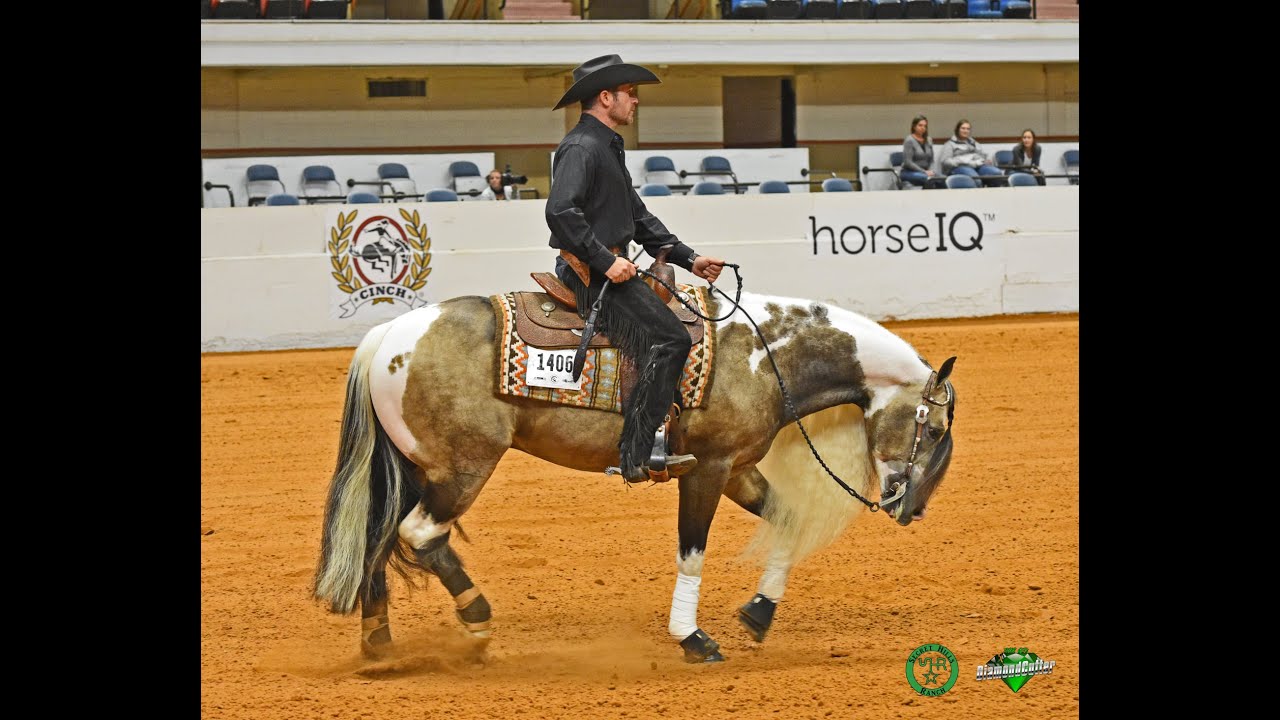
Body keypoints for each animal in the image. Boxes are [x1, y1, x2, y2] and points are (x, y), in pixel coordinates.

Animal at [312, 283, 957, 664]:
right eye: (934, 432)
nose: (912, 508)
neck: (764, 355)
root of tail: (387, 337)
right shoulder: (707, 469)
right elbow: (692, 551)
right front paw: (692, 637)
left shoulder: (740, 470)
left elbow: (789, 522)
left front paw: (759, 613)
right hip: (463, 468)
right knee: (421, 534)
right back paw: (475, 623)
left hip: (415, 470)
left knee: (378, 539)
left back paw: (378, 642)